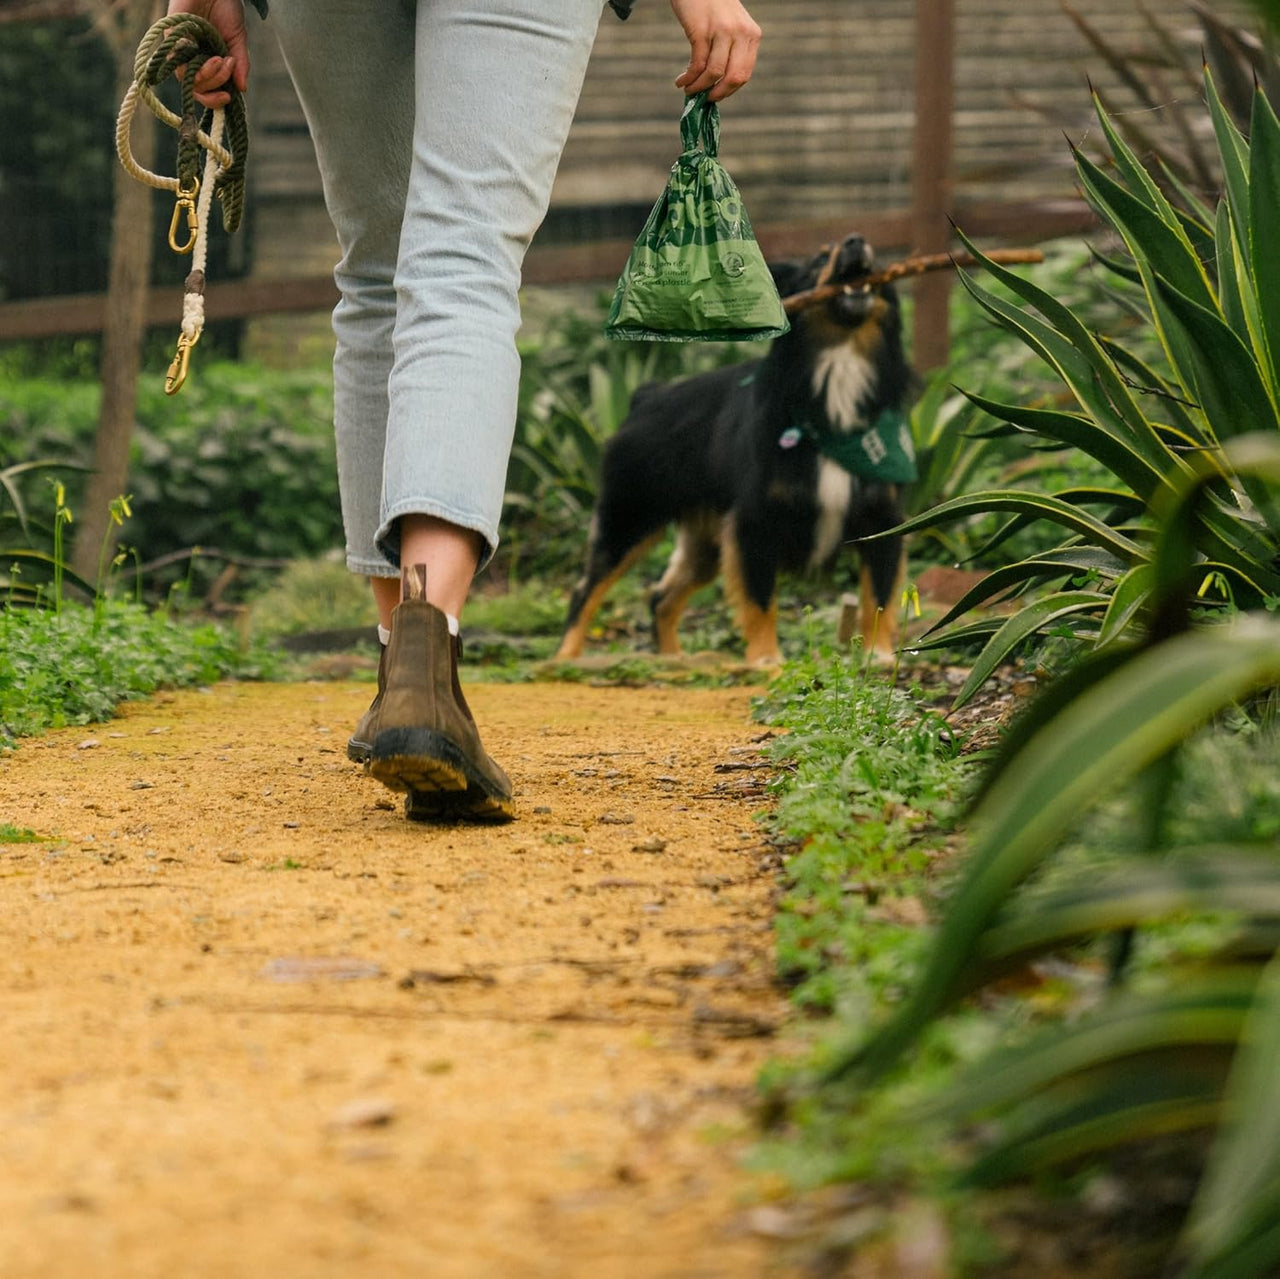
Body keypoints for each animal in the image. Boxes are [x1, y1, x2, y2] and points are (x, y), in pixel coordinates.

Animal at [555, 234, 916, 665]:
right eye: (818, 259)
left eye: (875, 259)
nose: (856, 241)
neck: (839, 366)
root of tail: (646, 397)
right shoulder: (753, 521)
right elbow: (760, 599)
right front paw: (767, 662)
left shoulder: (884, 517)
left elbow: (879, 594)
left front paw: (878, 656)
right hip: (629, 518)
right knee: (585, 591)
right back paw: (564, 660)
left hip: (704, 542)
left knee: (660, 598)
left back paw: (673, 660)